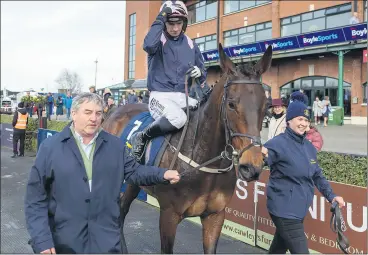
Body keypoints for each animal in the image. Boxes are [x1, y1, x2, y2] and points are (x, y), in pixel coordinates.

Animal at [103, 43, 274, 253]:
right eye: (231, 104)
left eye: (266, 105)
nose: (252, 167)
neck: (202, 160)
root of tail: (113, 111)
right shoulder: (169, 215)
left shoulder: (215, 215)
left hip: (134, 182)